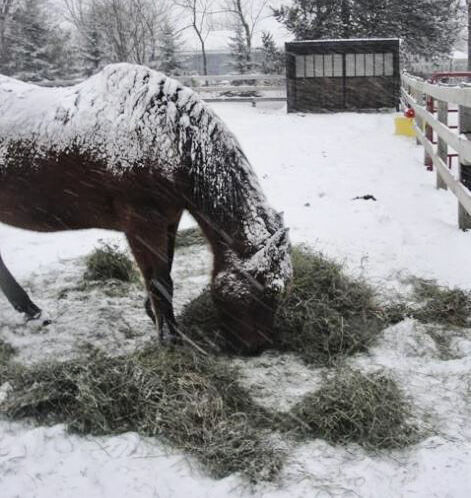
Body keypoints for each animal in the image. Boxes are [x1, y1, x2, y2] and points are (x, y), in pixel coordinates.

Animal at [0, 63, 294, 354]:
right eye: (265, 292)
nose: (255, 348)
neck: (166, 135)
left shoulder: (169, 219)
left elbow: (165, 272)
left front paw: (154, 315)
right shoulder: (142, 223)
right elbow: (159, 281)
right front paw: (169, 338)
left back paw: (31, 310)